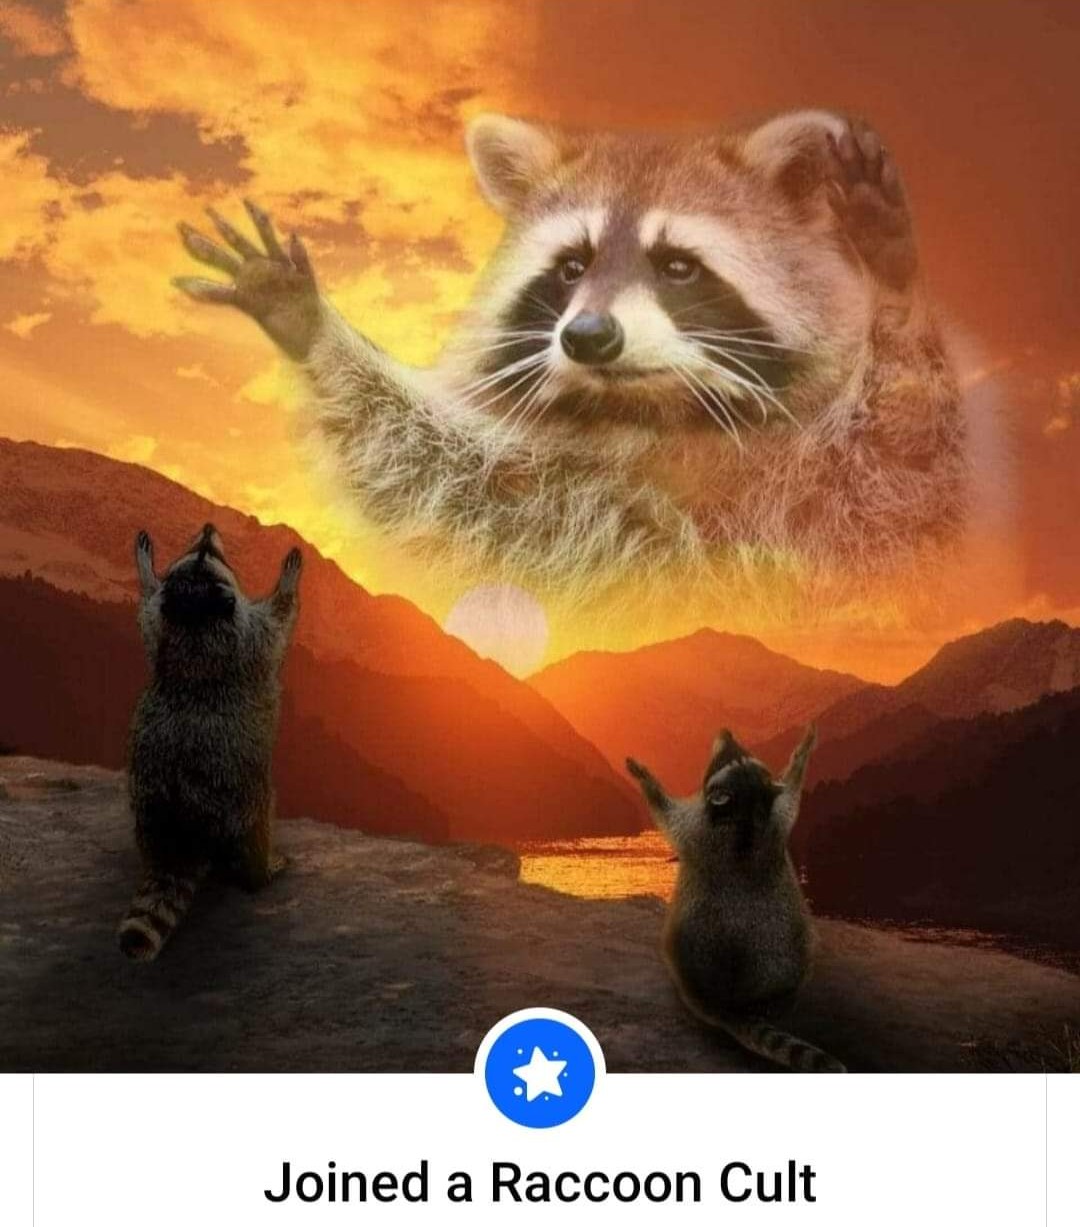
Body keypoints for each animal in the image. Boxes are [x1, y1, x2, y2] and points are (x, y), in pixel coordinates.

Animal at [118, 524, 301, 961]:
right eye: (209, 553)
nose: (208, 527)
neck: (194, 618)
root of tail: (180, 833)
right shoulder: (250, 639)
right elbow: (279, 621)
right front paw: (288, 578)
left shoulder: (162, 627)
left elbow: (146, 612)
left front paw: (145, 569)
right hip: (240, 799)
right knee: (260, 823)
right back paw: (262, 870)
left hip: (142, 806)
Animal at [175, 109, 965, 601]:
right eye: (571, 266)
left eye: (678, 266)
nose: (588, 336)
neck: (651, 412)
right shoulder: (551, 503)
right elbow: (439, 473)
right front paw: (311, 325)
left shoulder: (825, 500)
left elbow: (904, 476)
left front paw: (893, 286)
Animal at [626, 725, 845, 1073]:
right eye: (734, 754)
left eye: (725, 761)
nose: (725, 730)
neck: (749, 809)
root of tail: (734, 1005)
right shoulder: (775, 820)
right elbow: (791, 794)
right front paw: (802, 753)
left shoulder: (696, 828)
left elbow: (666, 813)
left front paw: (645, 777)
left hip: (681, 951)